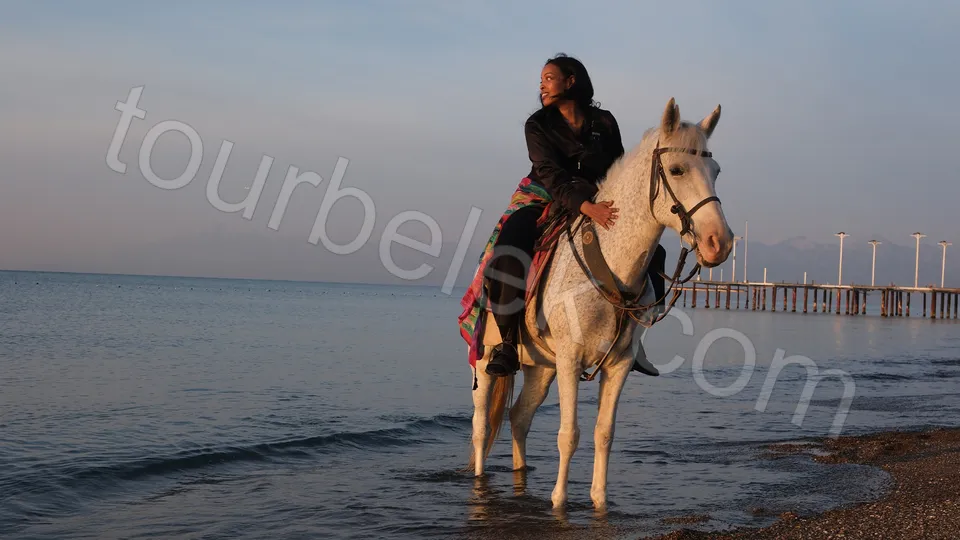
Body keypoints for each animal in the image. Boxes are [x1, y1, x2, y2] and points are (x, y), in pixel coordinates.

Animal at [467, 97, 735, 510]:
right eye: (676, 169)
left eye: (716, 171)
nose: (718, 242)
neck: (608, 264)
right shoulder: (570, 359)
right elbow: (569, 434)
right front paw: (559, 502)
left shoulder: (618, 364)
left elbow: (603, 433)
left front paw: (600, 502)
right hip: (485, 360)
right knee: (481, 427)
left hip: (541, 368)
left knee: (519, 417)